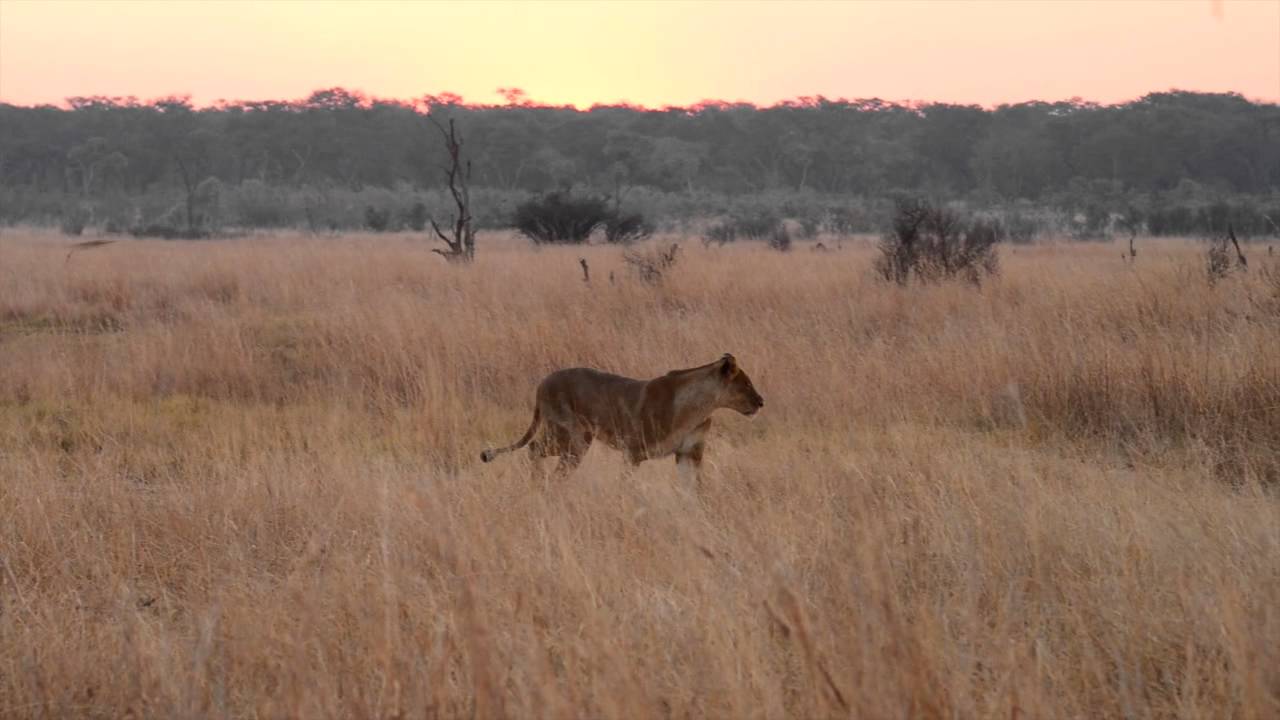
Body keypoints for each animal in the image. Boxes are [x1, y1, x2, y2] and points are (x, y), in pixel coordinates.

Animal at [481, 353, 764, 483]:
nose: (761, 402)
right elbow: (629, 484)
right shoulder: (633, 451)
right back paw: (541, 483)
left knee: (538, 451)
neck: (701, 407)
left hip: (573, 440)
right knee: (534, 448)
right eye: (747, 384)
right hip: (572, 437)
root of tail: (542, 383)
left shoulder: (689, 454)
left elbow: (693, 487)